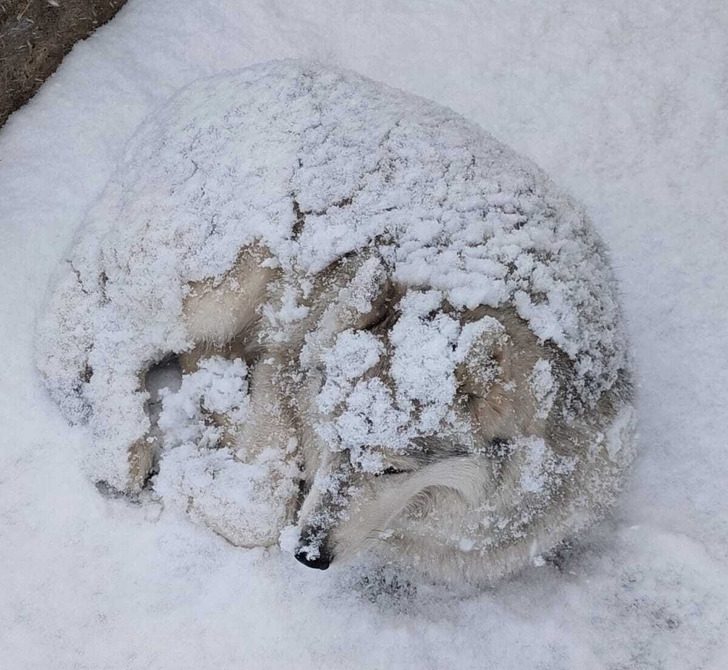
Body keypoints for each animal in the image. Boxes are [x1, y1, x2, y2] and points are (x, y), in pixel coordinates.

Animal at [37, 63, 636, 588]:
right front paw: (194, 474)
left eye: (391, 470)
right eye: (336, 439)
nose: (308, 555)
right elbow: (266, 511)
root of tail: (195, 93)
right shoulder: (286, 360)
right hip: (224, 281)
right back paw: (122, 454)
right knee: (114, 343)